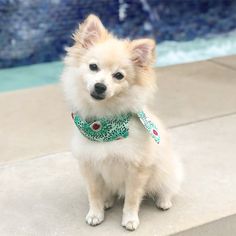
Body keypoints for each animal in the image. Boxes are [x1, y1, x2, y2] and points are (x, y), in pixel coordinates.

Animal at [60, 14, 183, 230]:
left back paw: (164, 201)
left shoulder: (137, 171)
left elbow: (132, 199)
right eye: (93, 67)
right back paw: (108, 201)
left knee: (167, 187)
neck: (102, 125)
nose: (100, 86)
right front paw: (96, 213)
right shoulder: (90, 167)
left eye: (118, 76)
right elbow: (94, 194)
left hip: (167, 172)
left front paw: (130, 219)